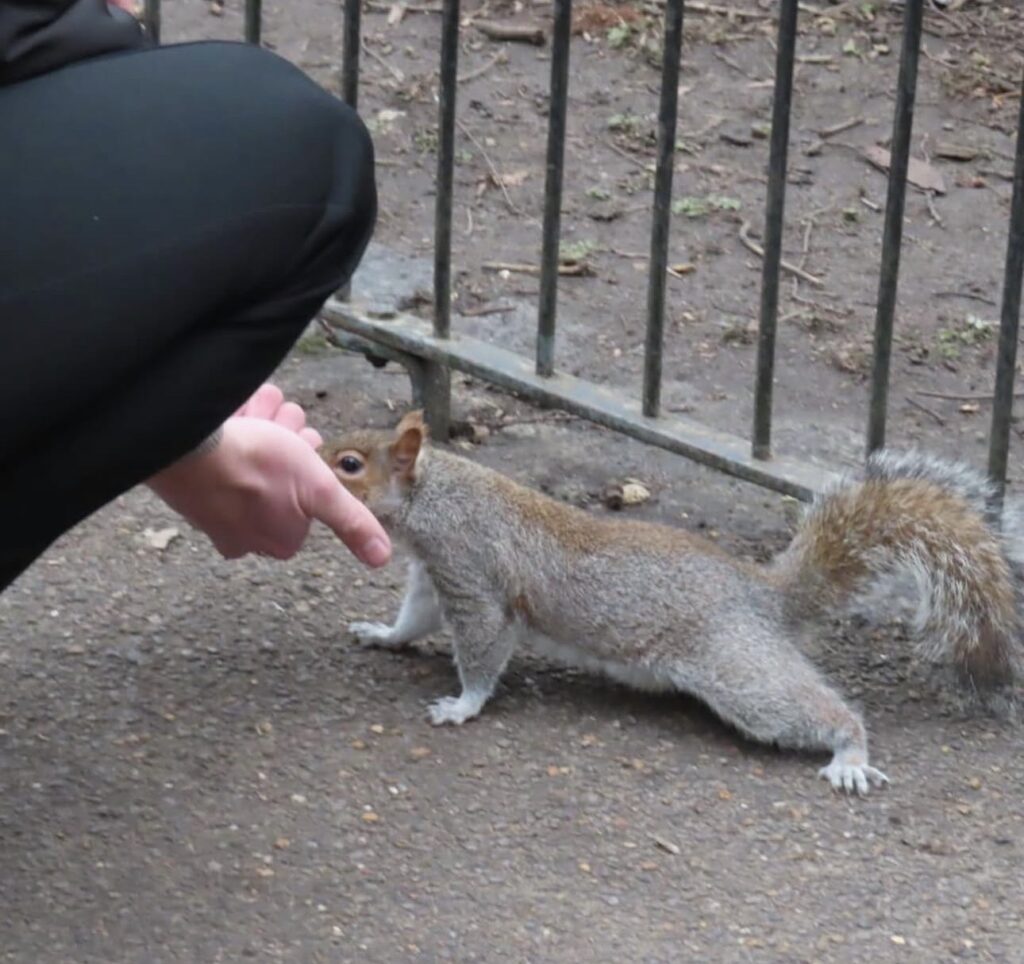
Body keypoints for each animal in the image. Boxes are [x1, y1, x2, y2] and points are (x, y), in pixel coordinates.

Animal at [321, 411, 1023, 795]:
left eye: (349, 463)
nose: (313, 455)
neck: (434, 494)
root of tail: (764, 594)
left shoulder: (471, 575)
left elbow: (483, 649)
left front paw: (462, 705)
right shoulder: (433, 575)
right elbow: (414, 617)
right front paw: (381, 634)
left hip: (738, 669)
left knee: (817, 708)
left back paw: (850, 753)